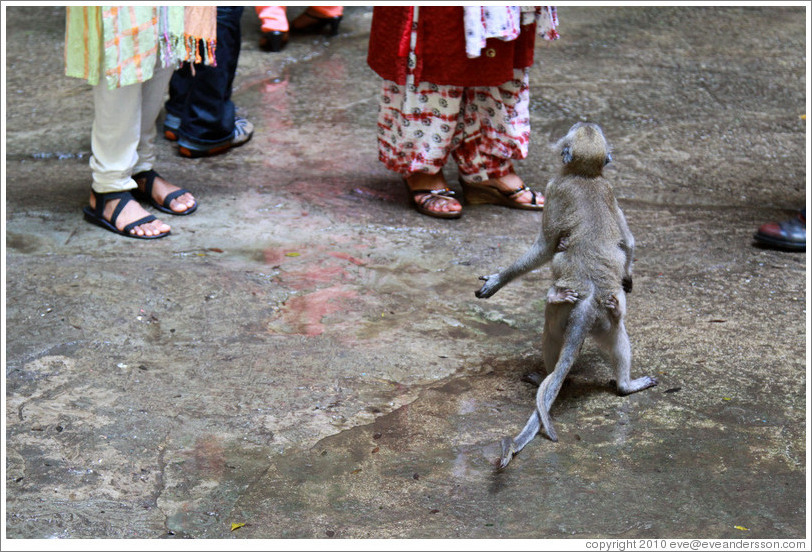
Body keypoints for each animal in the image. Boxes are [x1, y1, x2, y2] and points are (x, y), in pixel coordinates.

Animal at [478, 123, 656, 468]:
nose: (584, 123)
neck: (584, 176)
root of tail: (588, 298)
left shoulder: (555, 186)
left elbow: (547, 246)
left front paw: (498, 280)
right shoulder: (609, 189)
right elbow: (627, 243)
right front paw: (628, 276)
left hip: (561, 315)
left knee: (550, 332)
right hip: (604, 318)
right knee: (617, 330)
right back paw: (624, 383)